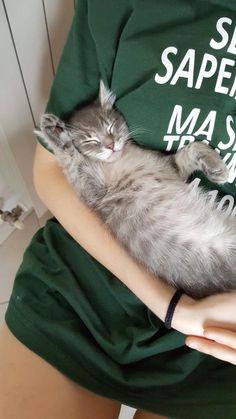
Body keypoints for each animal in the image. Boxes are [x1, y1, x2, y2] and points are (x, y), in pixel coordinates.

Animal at [36, 82, 235, 298]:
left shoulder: (169, 166)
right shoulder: (90, 190)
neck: (121, 158)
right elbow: (70, 159)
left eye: (110, 126)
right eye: (90, 140)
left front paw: (217, 168)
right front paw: (54, 133)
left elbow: (193, 147)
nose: (110, 145)